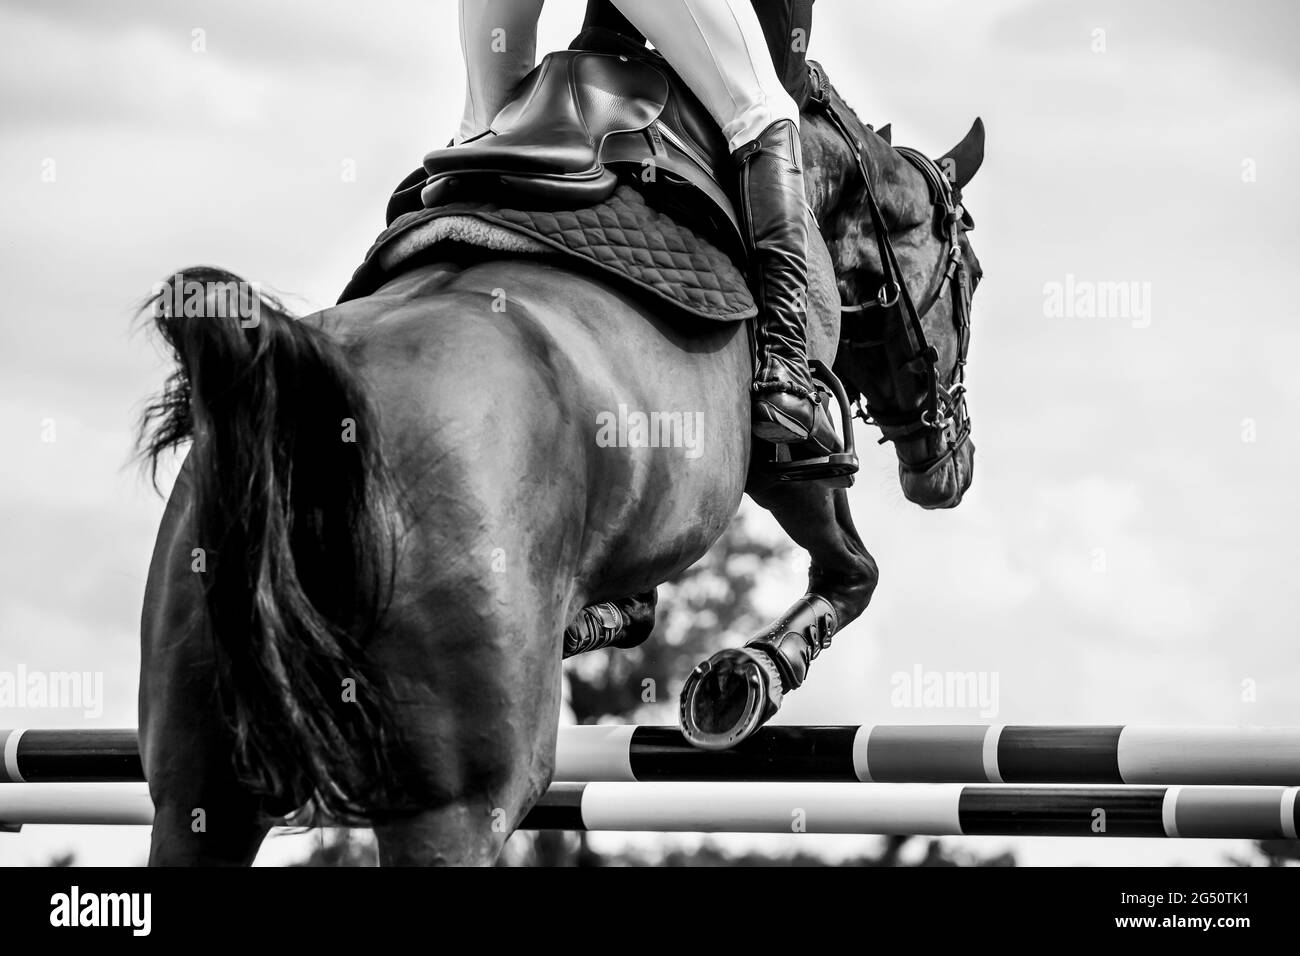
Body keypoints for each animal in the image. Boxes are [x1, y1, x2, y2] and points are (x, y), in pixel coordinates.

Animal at [136, 63, 984, 864]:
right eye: (971, 274)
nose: (953, 468)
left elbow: (640, 607)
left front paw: (609, 624)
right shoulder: (788, 455)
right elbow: (853, 569)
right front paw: (744, 678)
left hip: (200, 788)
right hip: (457, 803)